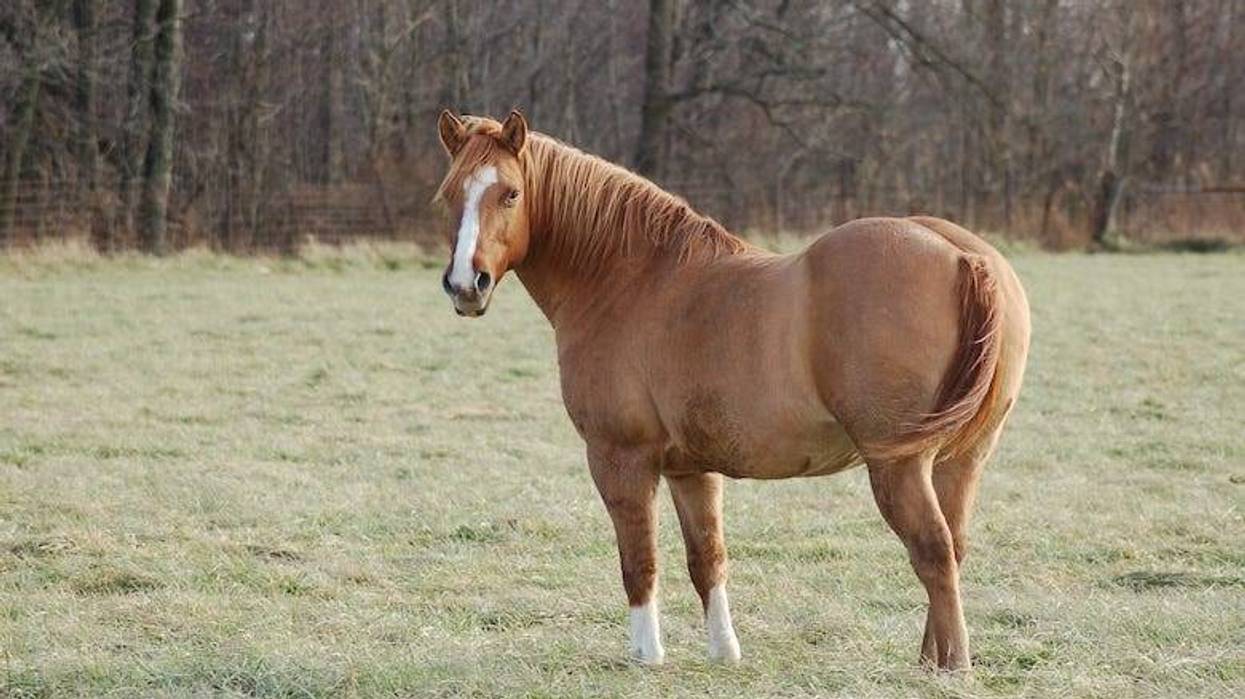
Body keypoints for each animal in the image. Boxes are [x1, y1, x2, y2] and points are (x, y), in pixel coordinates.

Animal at [433, 109, 1030, 671]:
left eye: (510, 193)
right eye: (449, 195)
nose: (466, 285)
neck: (630, 280)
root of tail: (963, 256)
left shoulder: (619, 458)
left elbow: (639, 560)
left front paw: (646, 655)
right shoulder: (691, 469)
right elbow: (707, 559)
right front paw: (724, 652)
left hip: (899, 465)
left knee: (933, 551)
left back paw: (952, 666)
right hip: (961, 461)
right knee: (953, 547)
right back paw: (931, 657)